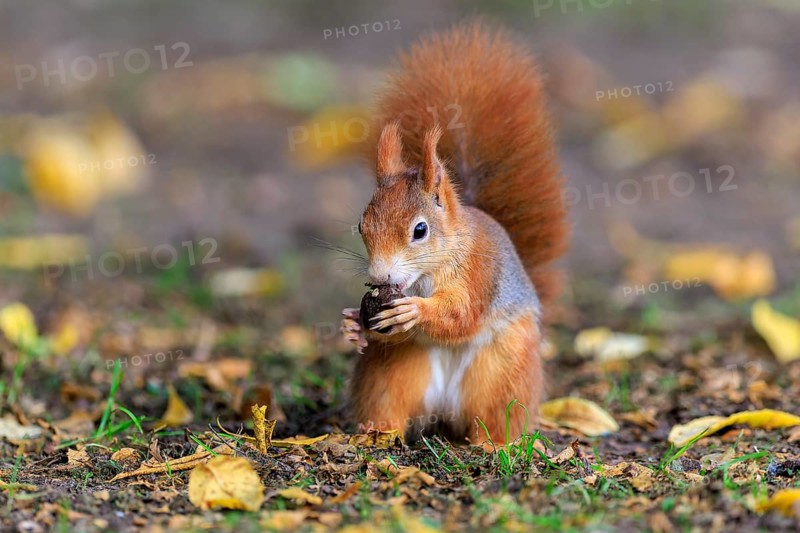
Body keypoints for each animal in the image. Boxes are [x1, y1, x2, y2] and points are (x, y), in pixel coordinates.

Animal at [340, 20, 569, 446]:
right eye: (361, 225)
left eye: (420, 230)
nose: (379, 277)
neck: (428, 272)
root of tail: (445, 412)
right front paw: (351, 323)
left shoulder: (478, 274)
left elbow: (462, 314)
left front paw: (416, 311)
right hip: (391, 373)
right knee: (389, 402)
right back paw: (376, 432)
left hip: (502, 372)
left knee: (497, 414)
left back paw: (490, 444)